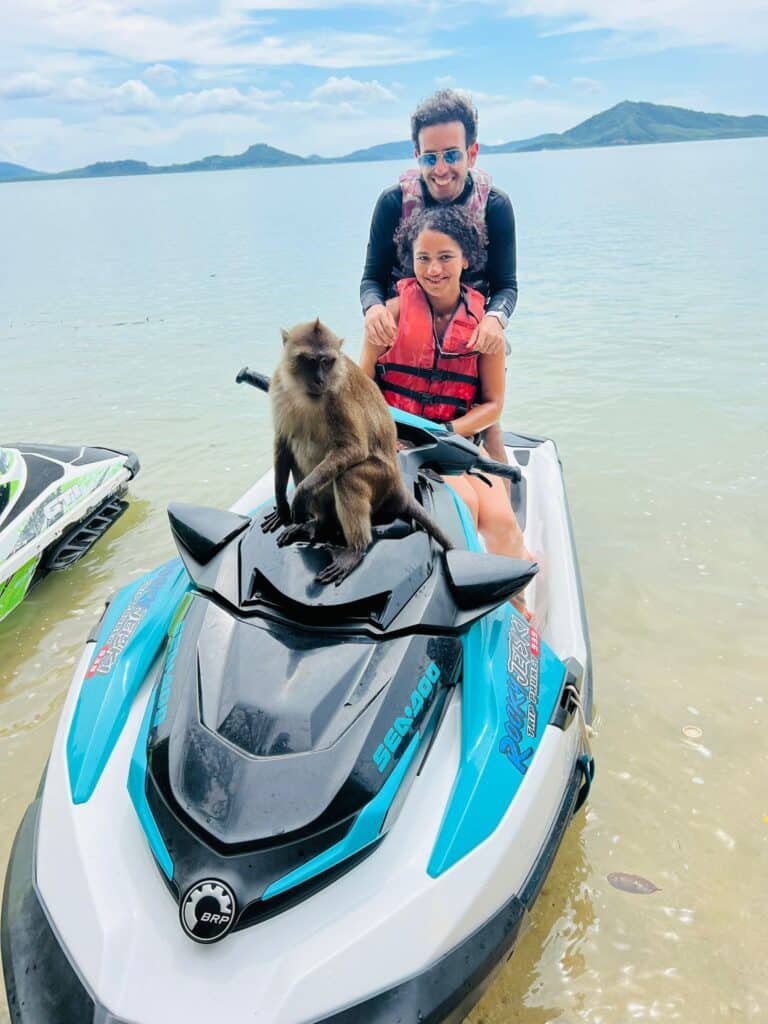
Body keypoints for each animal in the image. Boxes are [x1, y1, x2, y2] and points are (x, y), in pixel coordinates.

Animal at [261, 318, 454, 584]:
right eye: (309, 360)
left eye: (326, 361)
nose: (320, 380)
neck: (305, 394)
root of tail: (397, 482)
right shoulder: (279, 387)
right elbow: (283, 441)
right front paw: (281, 504)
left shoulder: (338, 397)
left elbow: (353, 448)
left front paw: (300, 495)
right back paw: (319, 525)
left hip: (381, 479)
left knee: (348, 476)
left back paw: (354, 549)